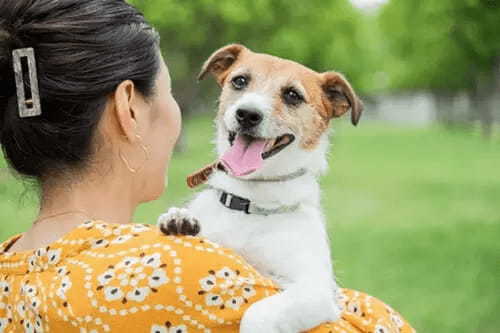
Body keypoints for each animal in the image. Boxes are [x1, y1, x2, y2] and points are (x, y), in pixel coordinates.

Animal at [159, 44, 364, 332]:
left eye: (292, 95)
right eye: (240, 81)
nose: (247, 114)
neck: (250, 201)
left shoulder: (315, 289)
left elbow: (259, 312)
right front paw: (180, 219)